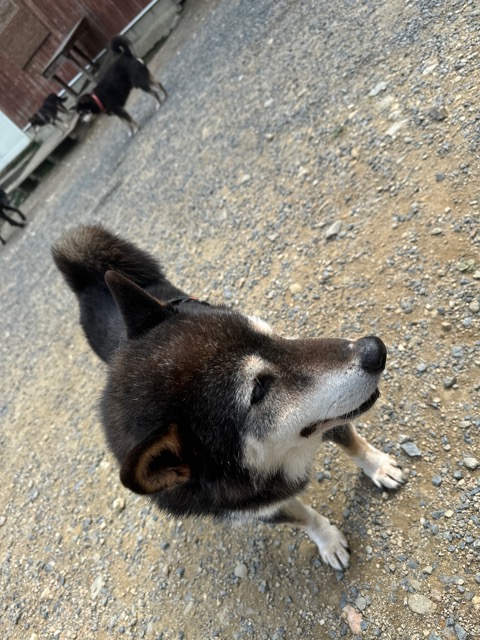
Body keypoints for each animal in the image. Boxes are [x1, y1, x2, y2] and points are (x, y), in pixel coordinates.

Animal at [52, 226, 404, 570]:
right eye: (258, 390)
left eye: (274, 336)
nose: (375, 350)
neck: (276, 460)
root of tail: (90, 279)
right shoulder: (257, 507)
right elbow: (305, 518)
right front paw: (328, 541)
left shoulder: (326, 412)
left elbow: (351, 441)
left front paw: (377, 466)